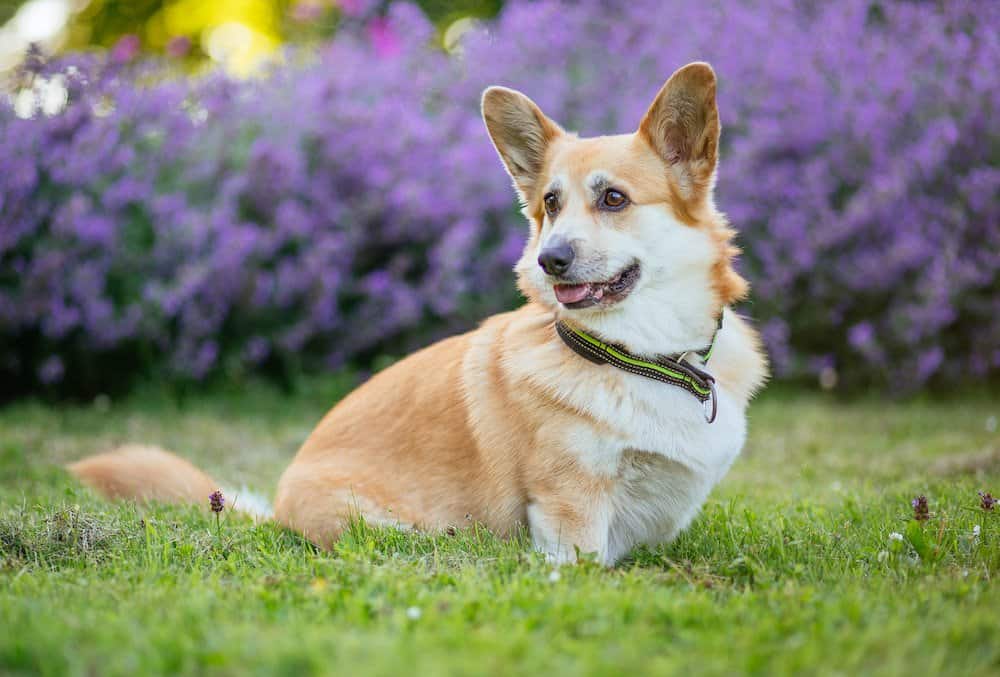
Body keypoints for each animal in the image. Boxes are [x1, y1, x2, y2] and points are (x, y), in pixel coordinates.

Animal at [72, 62, 764, 564]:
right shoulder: (571, 513)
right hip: (395, 530)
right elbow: (587, 566)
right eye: (550, 204)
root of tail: (274, 508)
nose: (550, 260)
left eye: (614, 199)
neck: (645, 357)